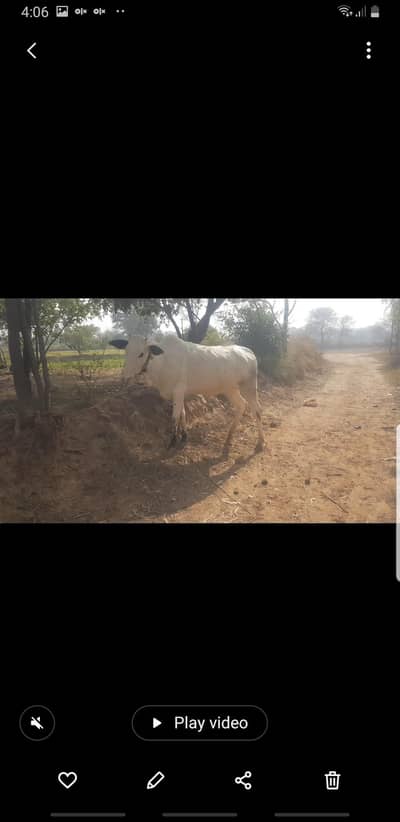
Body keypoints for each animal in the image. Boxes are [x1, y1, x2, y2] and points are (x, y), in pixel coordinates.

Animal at [109, 335, 265, 451]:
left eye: (141, 354)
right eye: (126, 351)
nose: (124, 377)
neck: (162, 362)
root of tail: (247, 351)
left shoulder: (178, 391)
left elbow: (174, 417)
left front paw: (172, 441)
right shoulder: (179, 394)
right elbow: (183, 414)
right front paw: (184, 436)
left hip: (249, 387)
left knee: (257, 410)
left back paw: (260, 441)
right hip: (230, 389)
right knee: (241, 406)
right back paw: (229, 437)